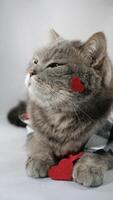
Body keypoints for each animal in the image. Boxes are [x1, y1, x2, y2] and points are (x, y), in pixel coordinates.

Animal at [24, 30, 113, 188]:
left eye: (54, 65)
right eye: (35, 61)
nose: (30, 71)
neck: (59, 116)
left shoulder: (105, 139)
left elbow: (93, 155)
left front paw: (88, 169)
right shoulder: (33, 130)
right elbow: (39, 143)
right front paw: (38, 160)